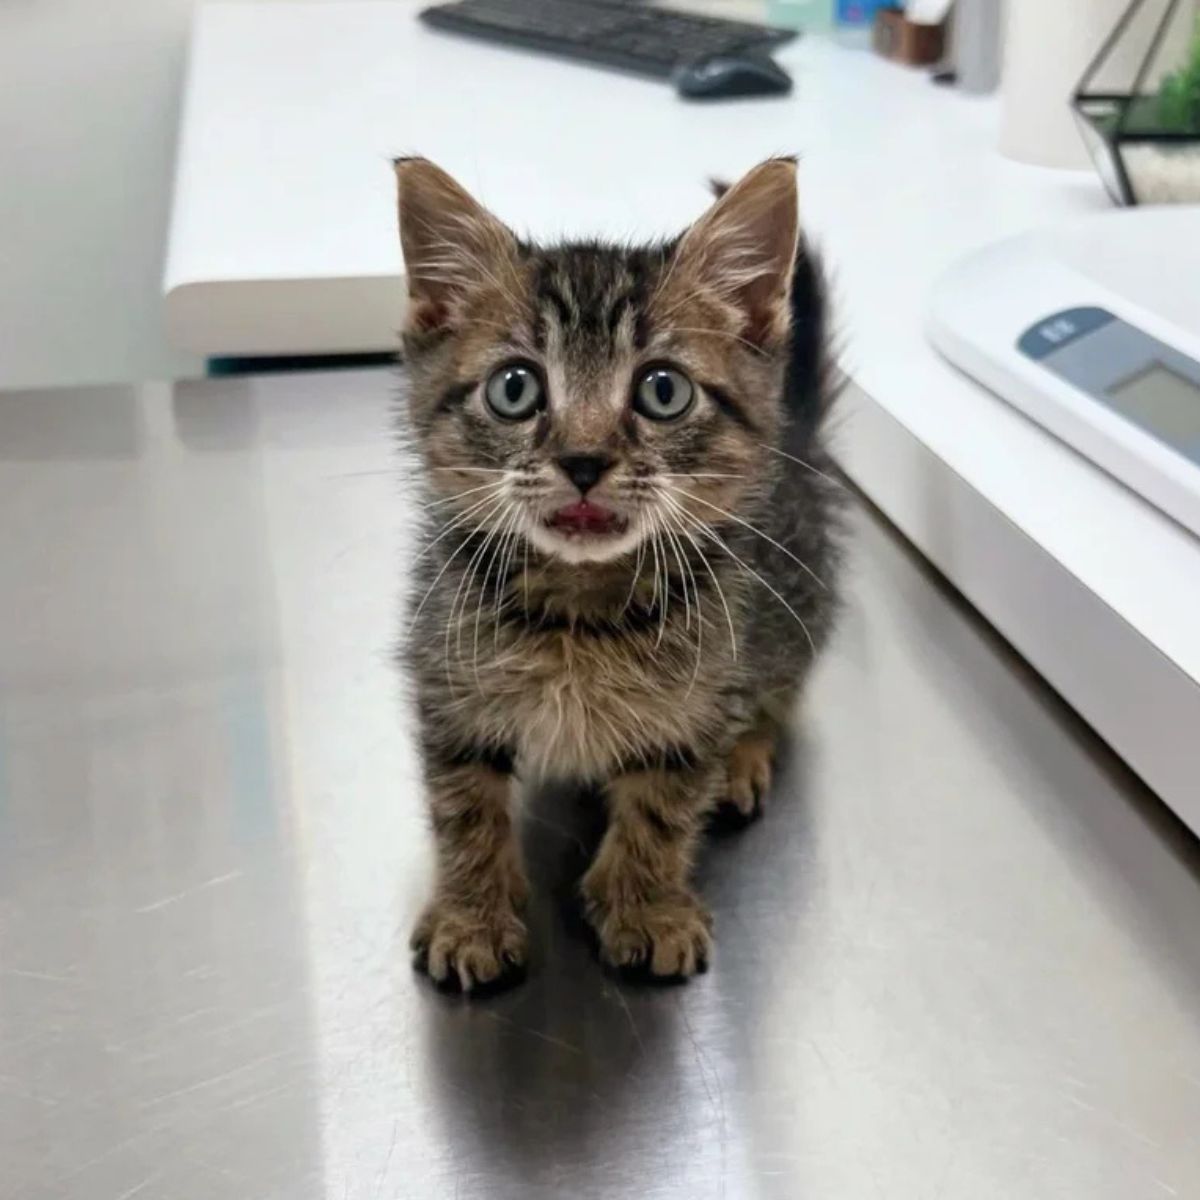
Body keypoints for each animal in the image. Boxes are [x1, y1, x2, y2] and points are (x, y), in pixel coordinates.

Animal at [398, 154, 840, 988]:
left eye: (662, 390)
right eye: (515, 387)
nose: (582, 460)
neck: (580, 613)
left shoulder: (699, 698)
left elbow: (663, 809)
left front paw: (646, 907)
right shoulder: (447, 679)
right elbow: (463, 804)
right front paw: (473, 915)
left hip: (796, 610)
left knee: (780, 692)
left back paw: (745, 758)